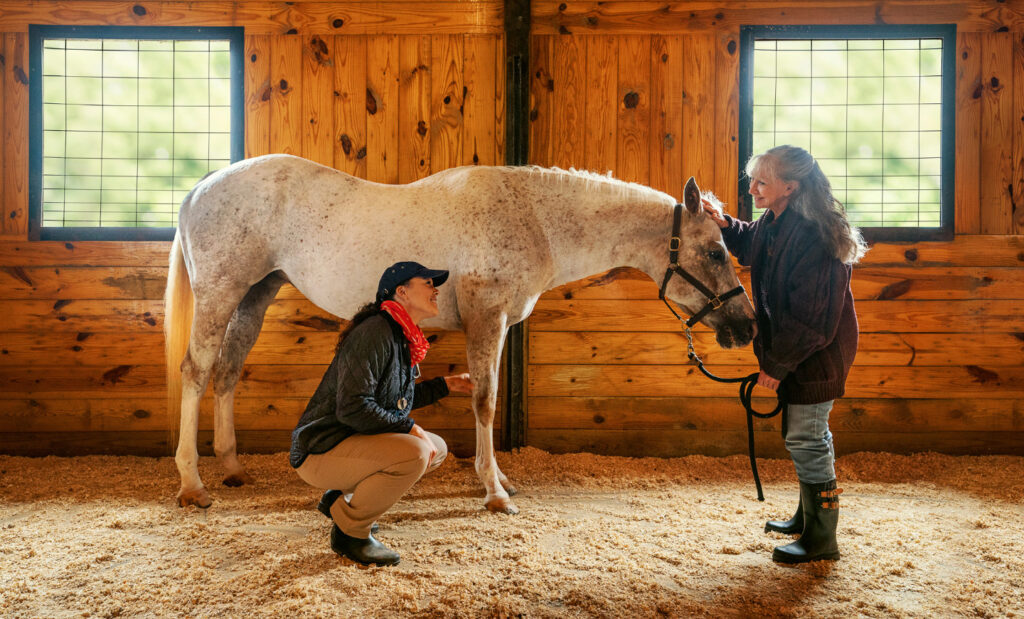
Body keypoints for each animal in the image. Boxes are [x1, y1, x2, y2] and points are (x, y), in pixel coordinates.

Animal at [164, 154, 756, 514]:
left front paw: (498, 480)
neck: (533, 218)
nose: (747, 326)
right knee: (196, 371)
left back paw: (232, 469)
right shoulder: (485, 318)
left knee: (228, 371)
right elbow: (485, 402)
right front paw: (494, 492)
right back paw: (193, 485)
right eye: (714, 252)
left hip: (256, 293)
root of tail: (198, 190)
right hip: (221, 292)